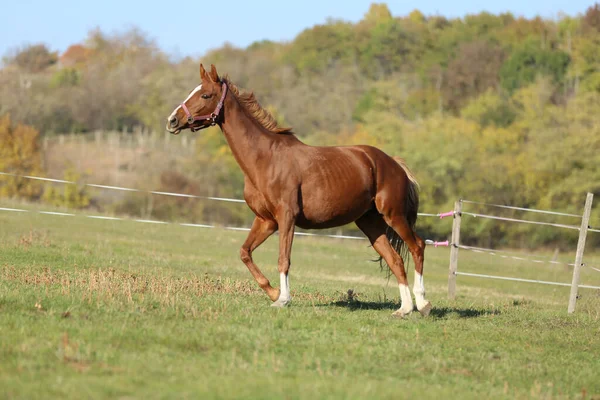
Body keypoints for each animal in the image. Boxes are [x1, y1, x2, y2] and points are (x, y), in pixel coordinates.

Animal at [166, 64, 428, 318]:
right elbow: (244, 252)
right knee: (395, 260)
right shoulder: (266, 220)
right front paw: (272, 292)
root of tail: (394, 163)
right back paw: (404, 309)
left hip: (394, 216)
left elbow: (284, 259)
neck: (266, 159)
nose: (172, 120)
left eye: (205, 95)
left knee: (417, 247)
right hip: (370, 223)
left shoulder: (286, 217)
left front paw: (283, 299)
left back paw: (423, 304)